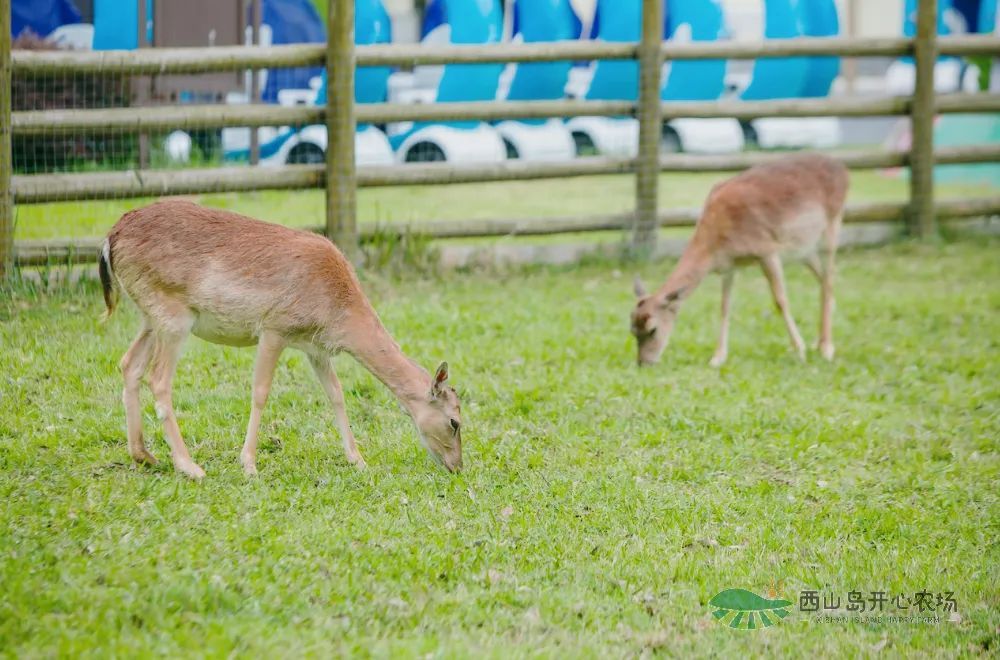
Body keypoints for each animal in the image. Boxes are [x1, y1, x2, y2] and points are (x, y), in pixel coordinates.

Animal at [97, 201, 464, 480]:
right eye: (455, 421)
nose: (458, 467)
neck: (339, 312)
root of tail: (110, 238)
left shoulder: (315, 348)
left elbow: (336, 394)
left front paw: (358, 460)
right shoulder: (274, 328)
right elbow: (260, 392)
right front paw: (248, 464)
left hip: (150, 316)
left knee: (129, 364)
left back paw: (144, 455)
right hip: (173, 316)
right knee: (159, 379)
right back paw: (190, 467)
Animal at [628, 155, 848, 372]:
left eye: (652, 329)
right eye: (632, 329)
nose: (643, 363)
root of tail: (843, 169)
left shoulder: (767, 251)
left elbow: (780, 300)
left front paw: (799, 351)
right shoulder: (729, 266)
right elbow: (724, 306)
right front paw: (717, 358)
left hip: (832, 225)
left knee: (829, 276)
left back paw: (827, 348)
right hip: (804, 249)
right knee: (824, 279)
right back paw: (819, 340)